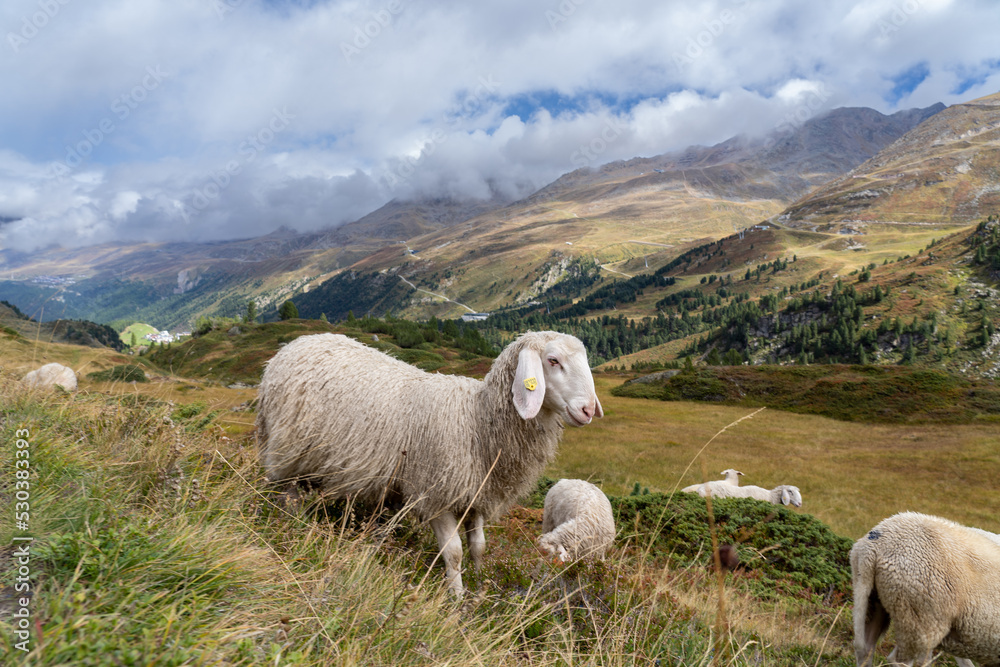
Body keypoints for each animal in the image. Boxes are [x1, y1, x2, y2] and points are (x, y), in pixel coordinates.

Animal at [256, 330, 600, 596]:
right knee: (284, 496)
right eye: (553, 360)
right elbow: (454, 552)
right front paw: (457, 599)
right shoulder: (436, 495)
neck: (477, 420)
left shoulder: (476, 495)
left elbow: (478, 546)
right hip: (285, 453)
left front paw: (480, 584)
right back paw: (289, 528)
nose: (587, 411)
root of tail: (293, 344)